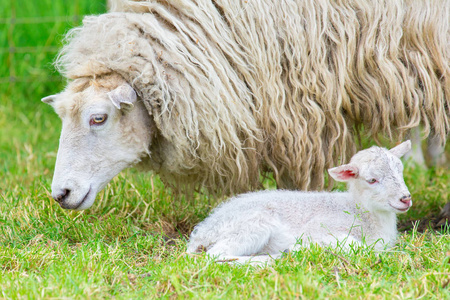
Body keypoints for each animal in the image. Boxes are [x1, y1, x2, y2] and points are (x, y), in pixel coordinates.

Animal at [186, 141, 412, 262]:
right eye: (372, 180)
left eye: (400, 171)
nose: (405, 199)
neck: (360, 211)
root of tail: (202, 231)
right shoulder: (321, 228)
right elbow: (357, 247)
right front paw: (302, 247)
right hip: (253, 225)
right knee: (217, 255)